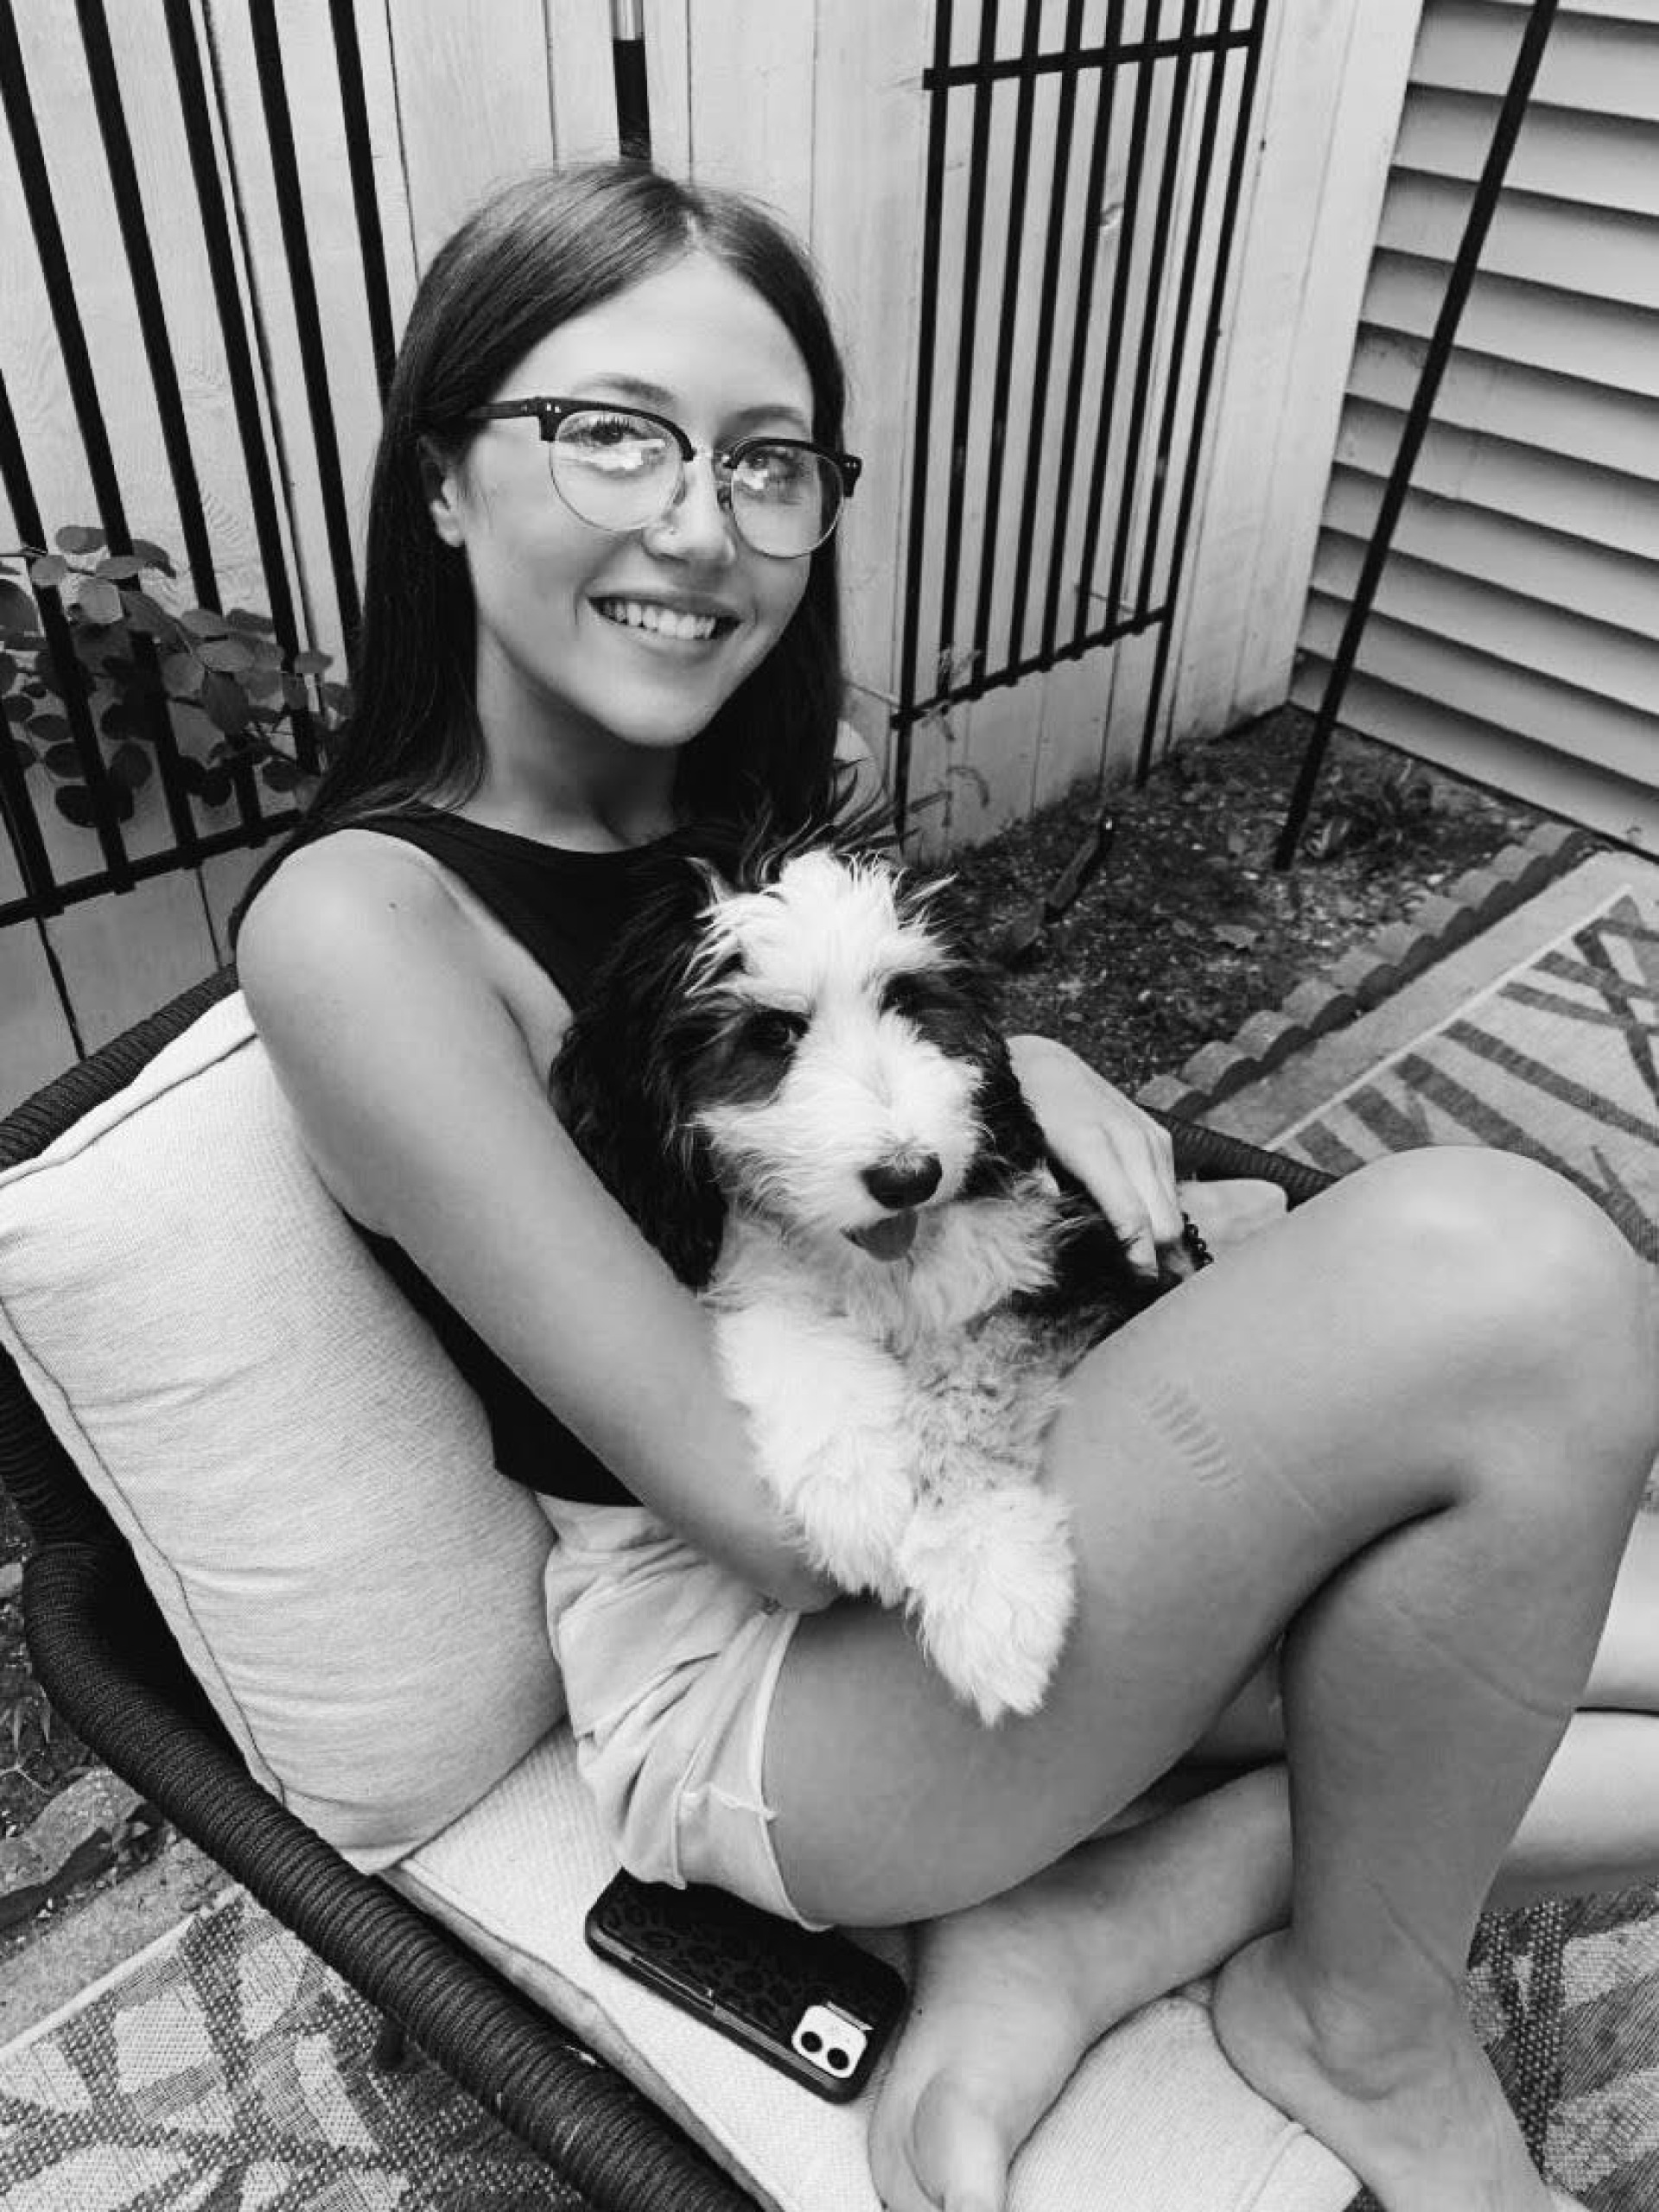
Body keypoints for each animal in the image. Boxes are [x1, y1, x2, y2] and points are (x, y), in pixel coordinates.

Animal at [553, 836, 1159, 1716]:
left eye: (906, 999)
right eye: (771, 1033)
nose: (909, 1177)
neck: (882, 1264)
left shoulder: (1067, 1264)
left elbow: (972, 1375)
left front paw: (989, 1582)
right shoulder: (746, 1267)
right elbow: (785, 1325)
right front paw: (858, 1497)